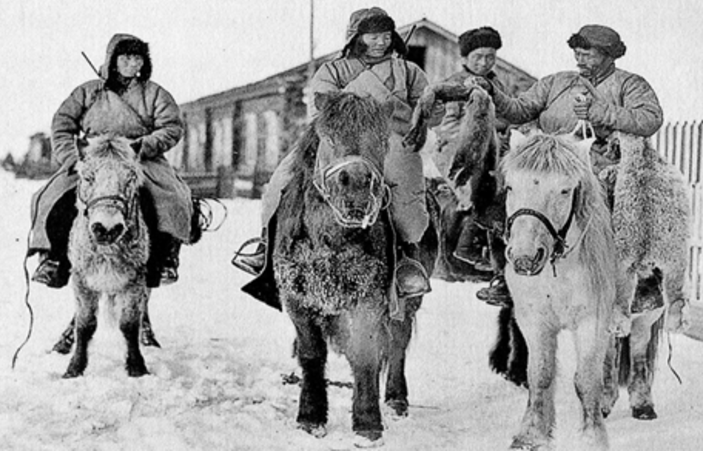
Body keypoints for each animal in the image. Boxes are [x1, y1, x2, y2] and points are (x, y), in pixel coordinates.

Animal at [62, 136, 152, 380]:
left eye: (131, 178)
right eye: (87, 177)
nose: (107, 228)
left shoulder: (135, 280)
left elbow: (129, 324)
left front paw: (136, 366)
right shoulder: (81, 280)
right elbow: (85, 323)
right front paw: (75, 367)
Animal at [272, 92, 438, 448]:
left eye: (381, 141)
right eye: (329, 137)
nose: (357, 185)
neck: (329, 241)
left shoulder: (369, 301)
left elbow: (365, 355)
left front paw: (367, 423)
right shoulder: (297, 301)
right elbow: (312, 354)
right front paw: (311, 417)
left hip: (407, 301)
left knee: (397, 343)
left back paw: (395, 399)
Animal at [504, 132, 620, 450]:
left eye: (565, 191)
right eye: (510, 186)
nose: (525, 257)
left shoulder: (592, 321)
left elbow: (586, 379)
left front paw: (593, 436)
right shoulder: (534, 321)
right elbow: (540, 374)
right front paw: (532, 433)